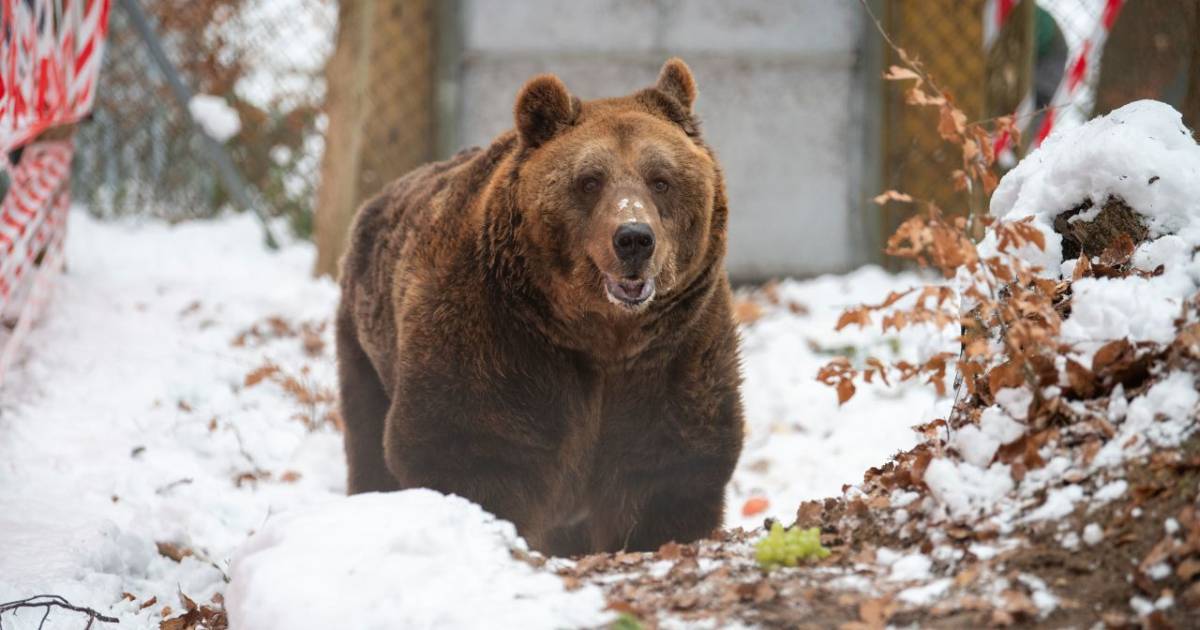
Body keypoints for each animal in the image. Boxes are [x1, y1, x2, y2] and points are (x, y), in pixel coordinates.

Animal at [336, 58, 744, 556]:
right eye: (589, 181)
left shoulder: (676, 346)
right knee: (367, 440)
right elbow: (468, 447)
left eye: (661, 180)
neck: (602, 335)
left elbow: (669, 463)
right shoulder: (496, 338)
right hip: (365, 347)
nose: (633, 238)